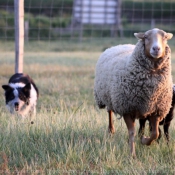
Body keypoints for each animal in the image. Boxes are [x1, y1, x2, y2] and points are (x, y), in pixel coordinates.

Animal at [93, 28, 173, 158]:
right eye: (146, 37)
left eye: (165, 37)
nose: (156, 49)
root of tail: (120, 45)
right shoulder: (126, 108)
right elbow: (132, 133)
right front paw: (132, 154)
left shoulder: (156, 110)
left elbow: (155, 133)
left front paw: (144, 140)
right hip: (108, 97)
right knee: (109, 112)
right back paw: (111, 130)